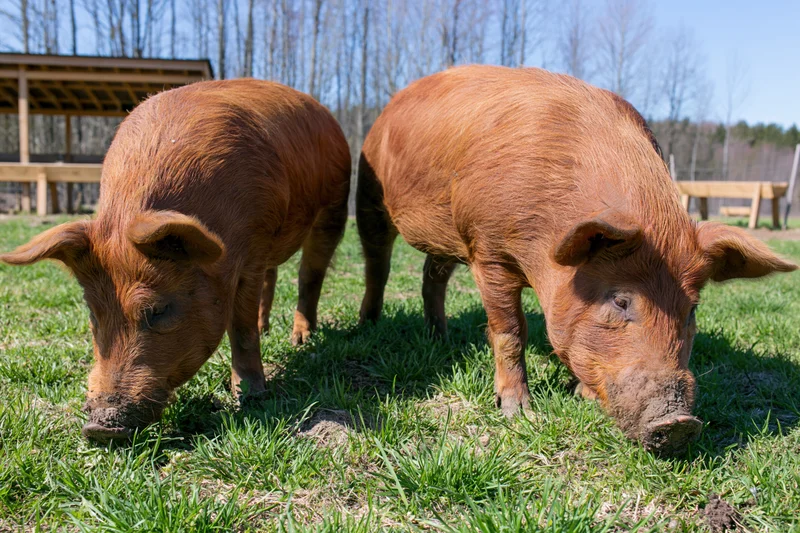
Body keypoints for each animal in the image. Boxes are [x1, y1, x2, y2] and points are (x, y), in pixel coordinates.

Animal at [0, 79, 351, 440]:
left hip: (334, 205)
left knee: (310, 275)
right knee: (274, 277)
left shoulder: (252, 248)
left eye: (158, 310)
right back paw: (267, 329)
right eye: (93, 314)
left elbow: (240, 328)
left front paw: (251, 398)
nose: (99, 427)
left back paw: (300, 340)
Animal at [356, 65, 797, 455]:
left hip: (446, 237)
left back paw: (440, 338)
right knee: (378, 264)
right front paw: (519, 413)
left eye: (691, 311)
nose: (678, 424)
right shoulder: (488, 249)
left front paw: (580, 395)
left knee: (433, 276)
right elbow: (510, 331)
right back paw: (369, 325)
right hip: (370, 194)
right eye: (620, 300)